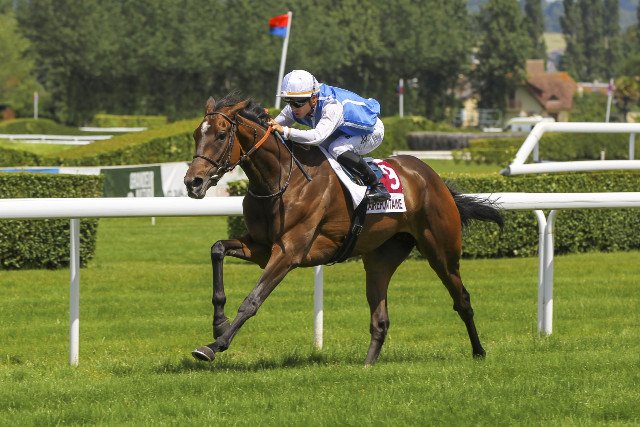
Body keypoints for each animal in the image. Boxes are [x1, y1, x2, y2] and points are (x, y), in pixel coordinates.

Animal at [183, 95, 503, 366]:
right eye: (197, 134)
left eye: (221, 135)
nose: (192, 182)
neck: (281, 179)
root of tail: (434, 178)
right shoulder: (261, 247)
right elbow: (217, 249)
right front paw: (218, 323)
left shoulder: (288, 252)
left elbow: (252, 301)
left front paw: (214, 345)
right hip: (380, 258)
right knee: (380, 318)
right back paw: (367, 366)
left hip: (440, 249)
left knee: (462, 300)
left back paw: (479, 352)